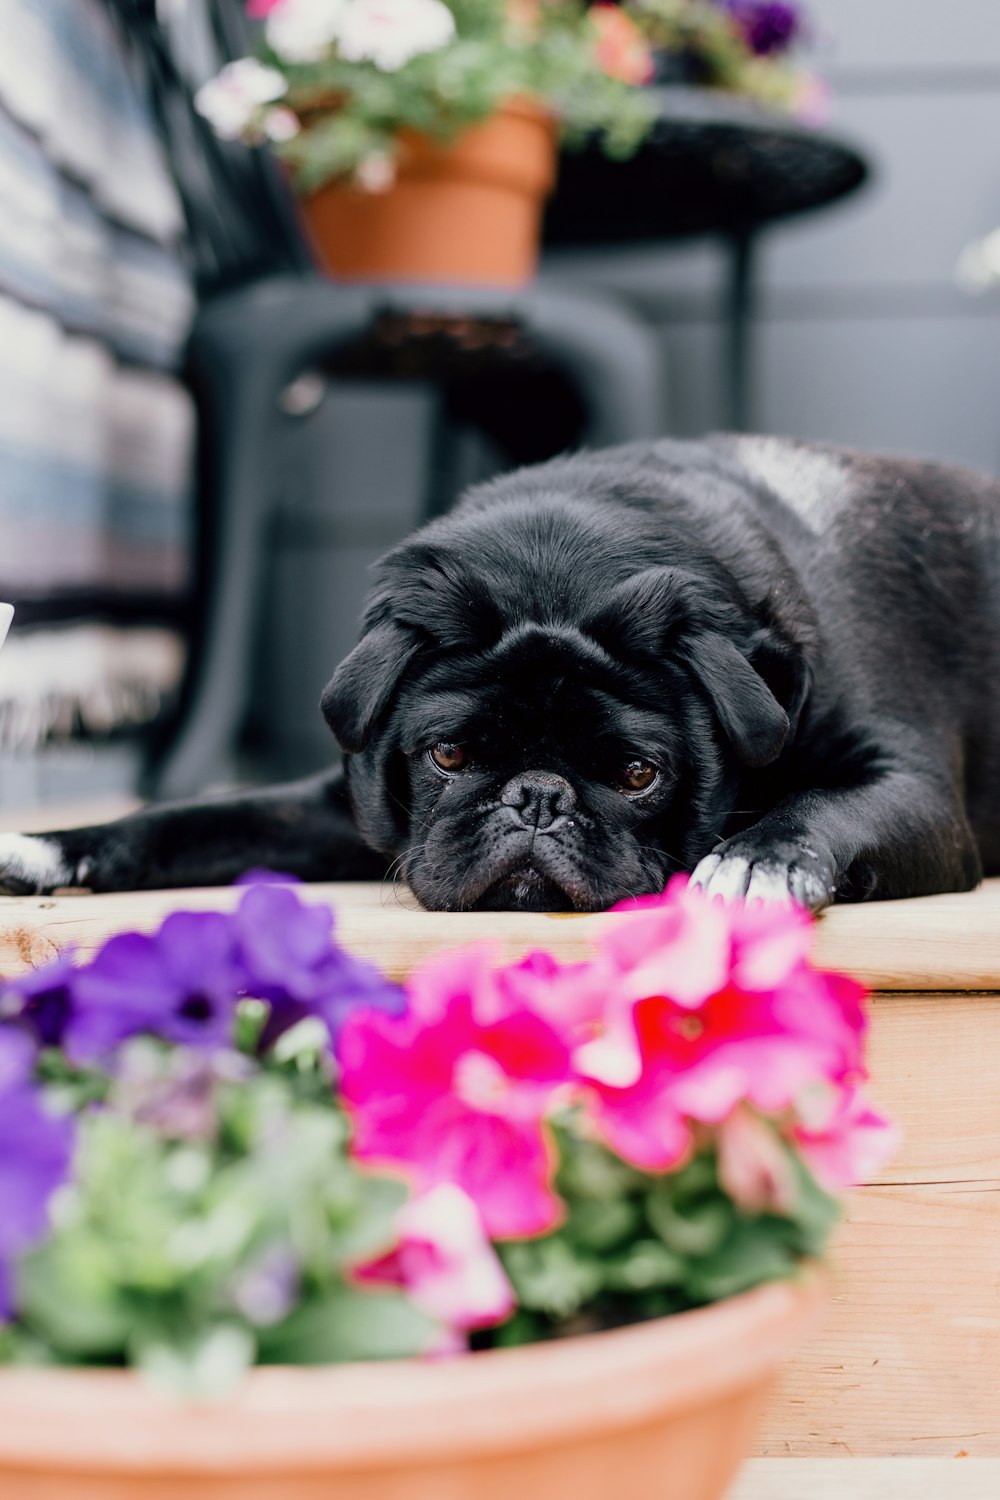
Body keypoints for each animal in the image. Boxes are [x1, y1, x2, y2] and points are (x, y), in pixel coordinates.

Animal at [3, 435, 995, 912]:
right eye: (448, 757)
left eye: (640, 775)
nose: (537, 798)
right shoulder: (336, 806)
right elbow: (192, 823)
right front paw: (51, 847)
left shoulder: (911, 787)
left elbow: (824, 806)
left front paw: (758, 861)